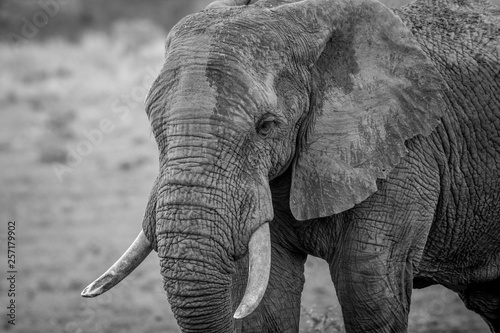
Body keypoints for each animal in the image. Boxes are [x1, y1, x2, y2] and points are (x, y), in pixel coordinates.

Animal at [82, 0, 500, 330]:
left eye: (266, 126)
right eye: (152, 121)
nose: (87, 292)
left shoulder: (405, 150)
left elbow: (367, 285)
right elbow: (269, 298)